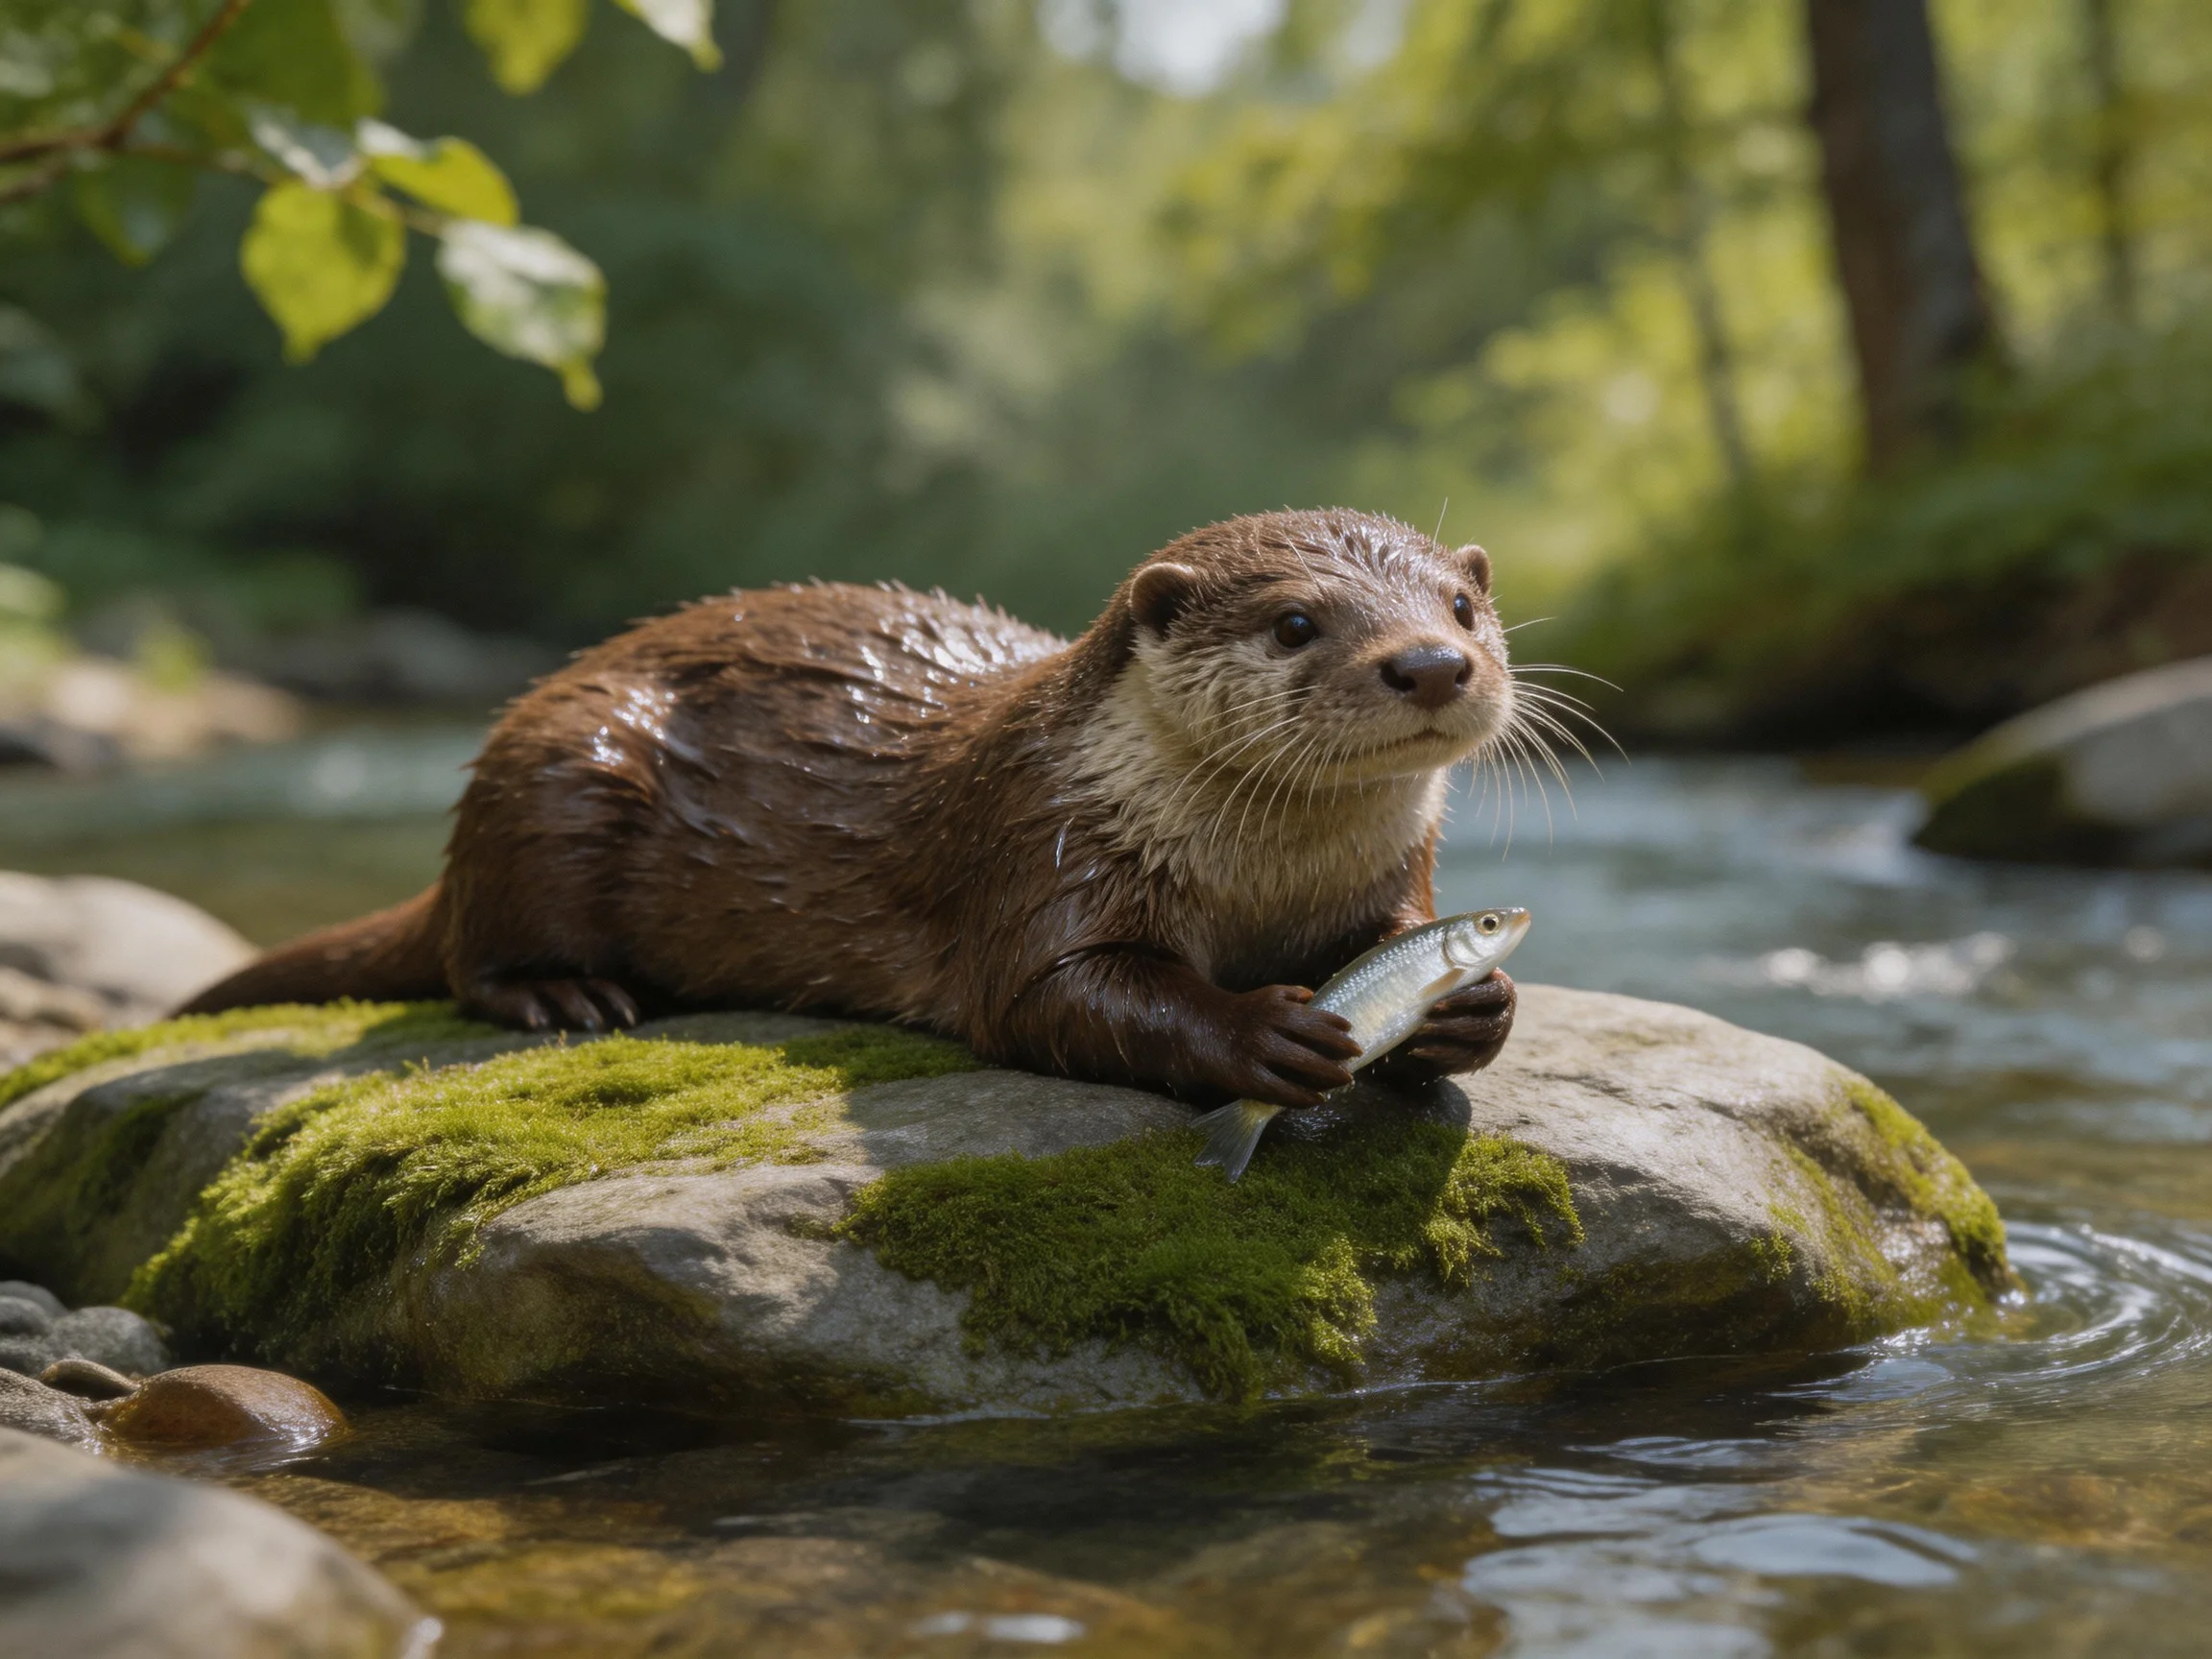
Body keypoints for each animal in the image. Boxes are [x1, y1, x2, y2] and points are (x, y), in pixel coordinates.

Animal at [182, 509, 1525, 1109]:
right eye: (1295, 621)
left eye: (1463, 608)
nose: (1429, 663)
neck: (1263, 882)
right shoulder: (1040, 844)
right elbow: (1056, 996)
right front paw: (1262, 1031)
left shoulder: (1396, 876)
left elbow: (1410, 943)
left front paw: (1473, 1005)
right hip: (554, 771)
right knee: (476, 953)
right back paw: (566, 997)